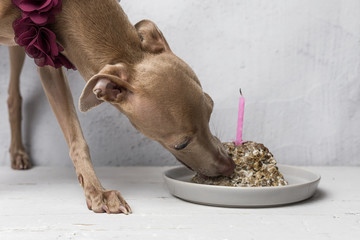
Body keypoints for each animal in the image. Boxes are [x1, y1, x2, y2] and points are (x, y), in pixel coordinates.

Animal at [0, 0, 235, 214]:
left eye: (210, 106)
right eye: (181, 144)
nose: (230, 166)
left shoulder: (48, 57)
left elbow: (76, 139)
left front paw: (97, 192)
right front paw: (99, 193)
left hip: (18, 43)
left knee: (13, 96)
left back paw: (18, 152)